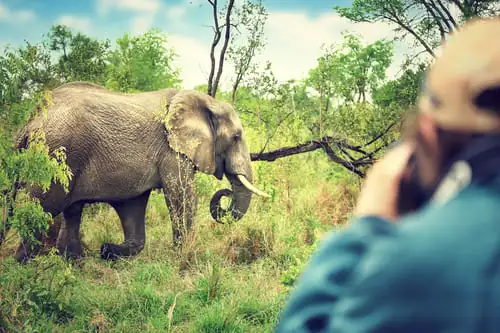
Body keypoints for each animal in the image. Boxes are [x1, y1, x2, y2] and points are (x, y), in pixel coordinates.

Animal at [4, 81, 270, 262]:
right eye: (236, 137)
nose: (226, 192)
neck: (206, 101)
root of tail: (31, 119)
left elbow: (133, 207)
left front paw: (108, 250)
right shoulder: (171, 149)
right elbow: (181, 195)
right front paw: (184, 255)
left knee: (71, 212)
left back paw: (71, 262)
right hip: (56, 155)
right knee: (41, 209)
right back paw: (22, 266)